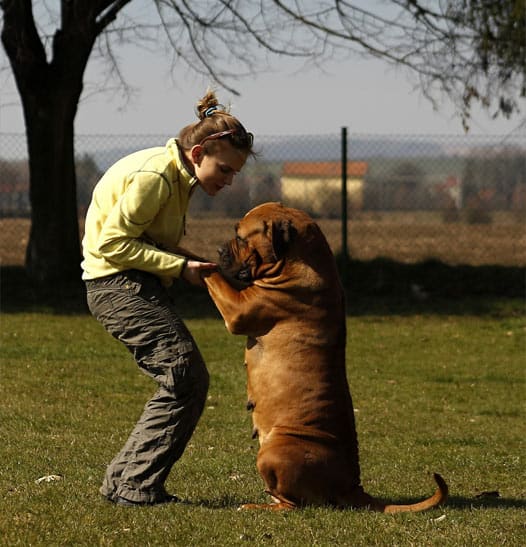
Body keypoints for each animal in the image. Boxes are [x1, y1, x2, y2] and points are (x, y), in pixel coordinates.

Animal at [204, 202, 448, 512]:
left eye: (241, 236)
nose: (219, 249)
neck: (297, 259)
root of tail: (351, 485)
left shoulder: (237, 308)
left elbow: (213, 275)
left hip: (273, 451)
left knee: (293, 504)